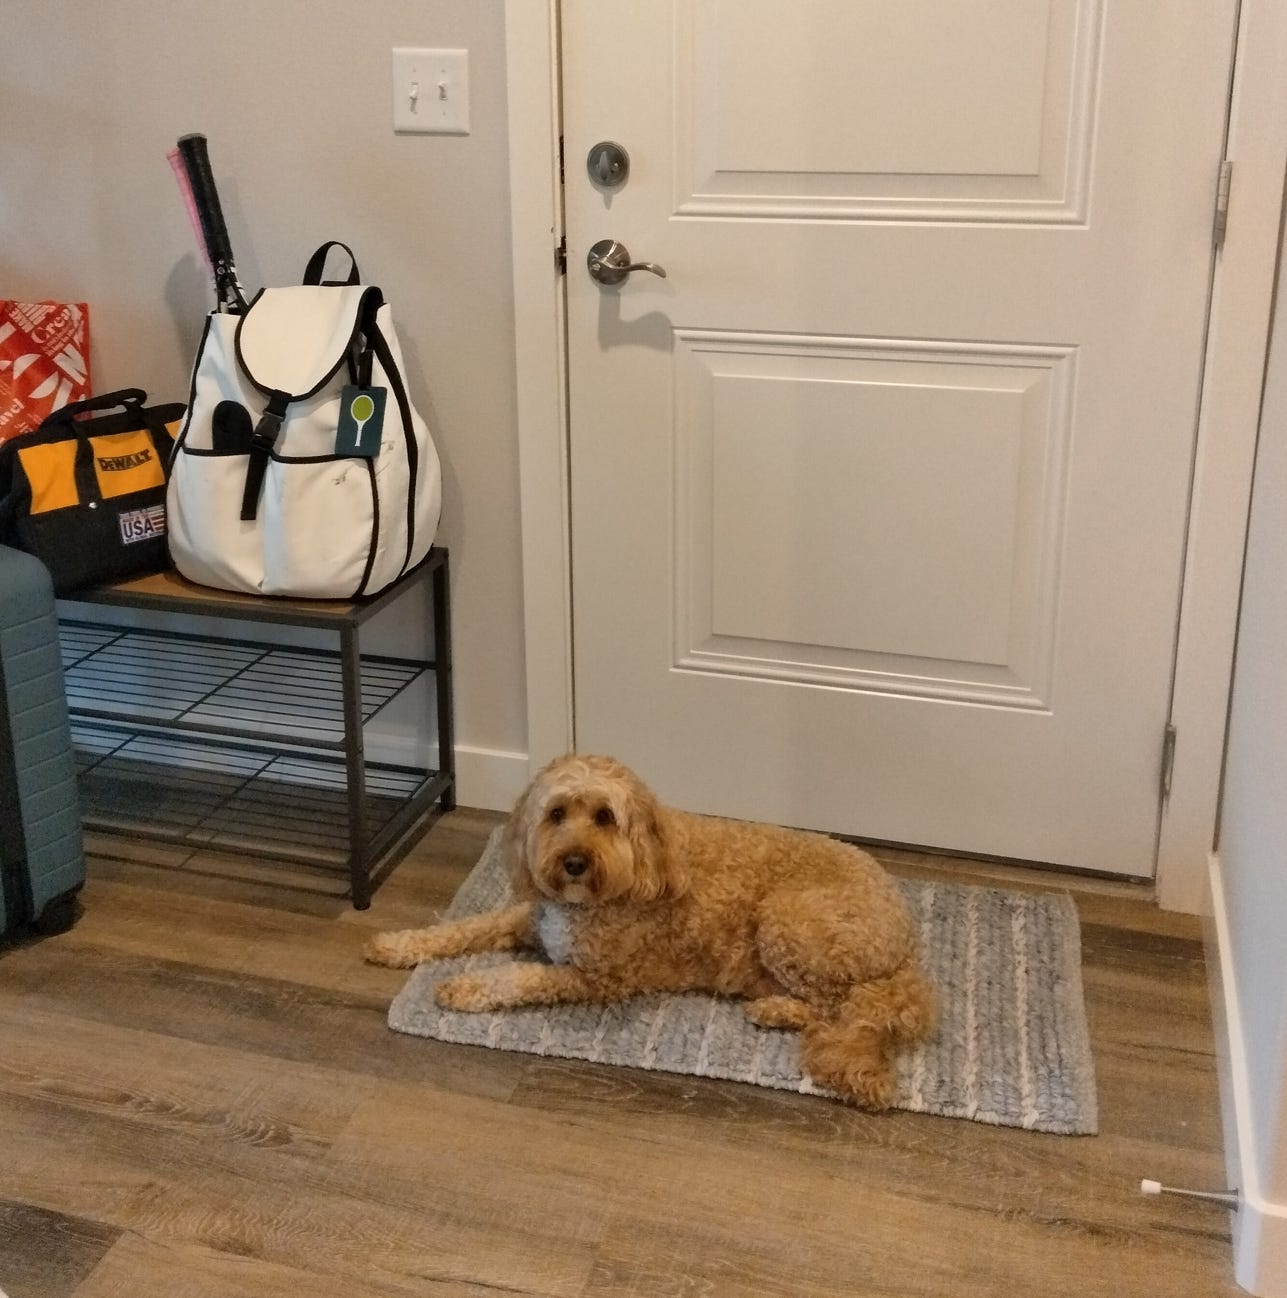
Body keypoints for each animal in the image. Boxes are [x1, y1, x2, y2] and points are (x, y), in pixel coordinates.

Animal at [365, 754, 936, 1108]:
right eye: (556, 813)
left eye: (604, 817)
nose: (573, 862)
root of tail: (906, 943)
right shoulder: (529, 918)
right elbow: (464, 925)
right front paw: (398, 944)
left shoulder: (597, 977)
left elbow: (517, 978)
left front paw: (462, 986)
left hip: (789, 923)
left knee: (839, 1007)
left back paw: (775, 1010)